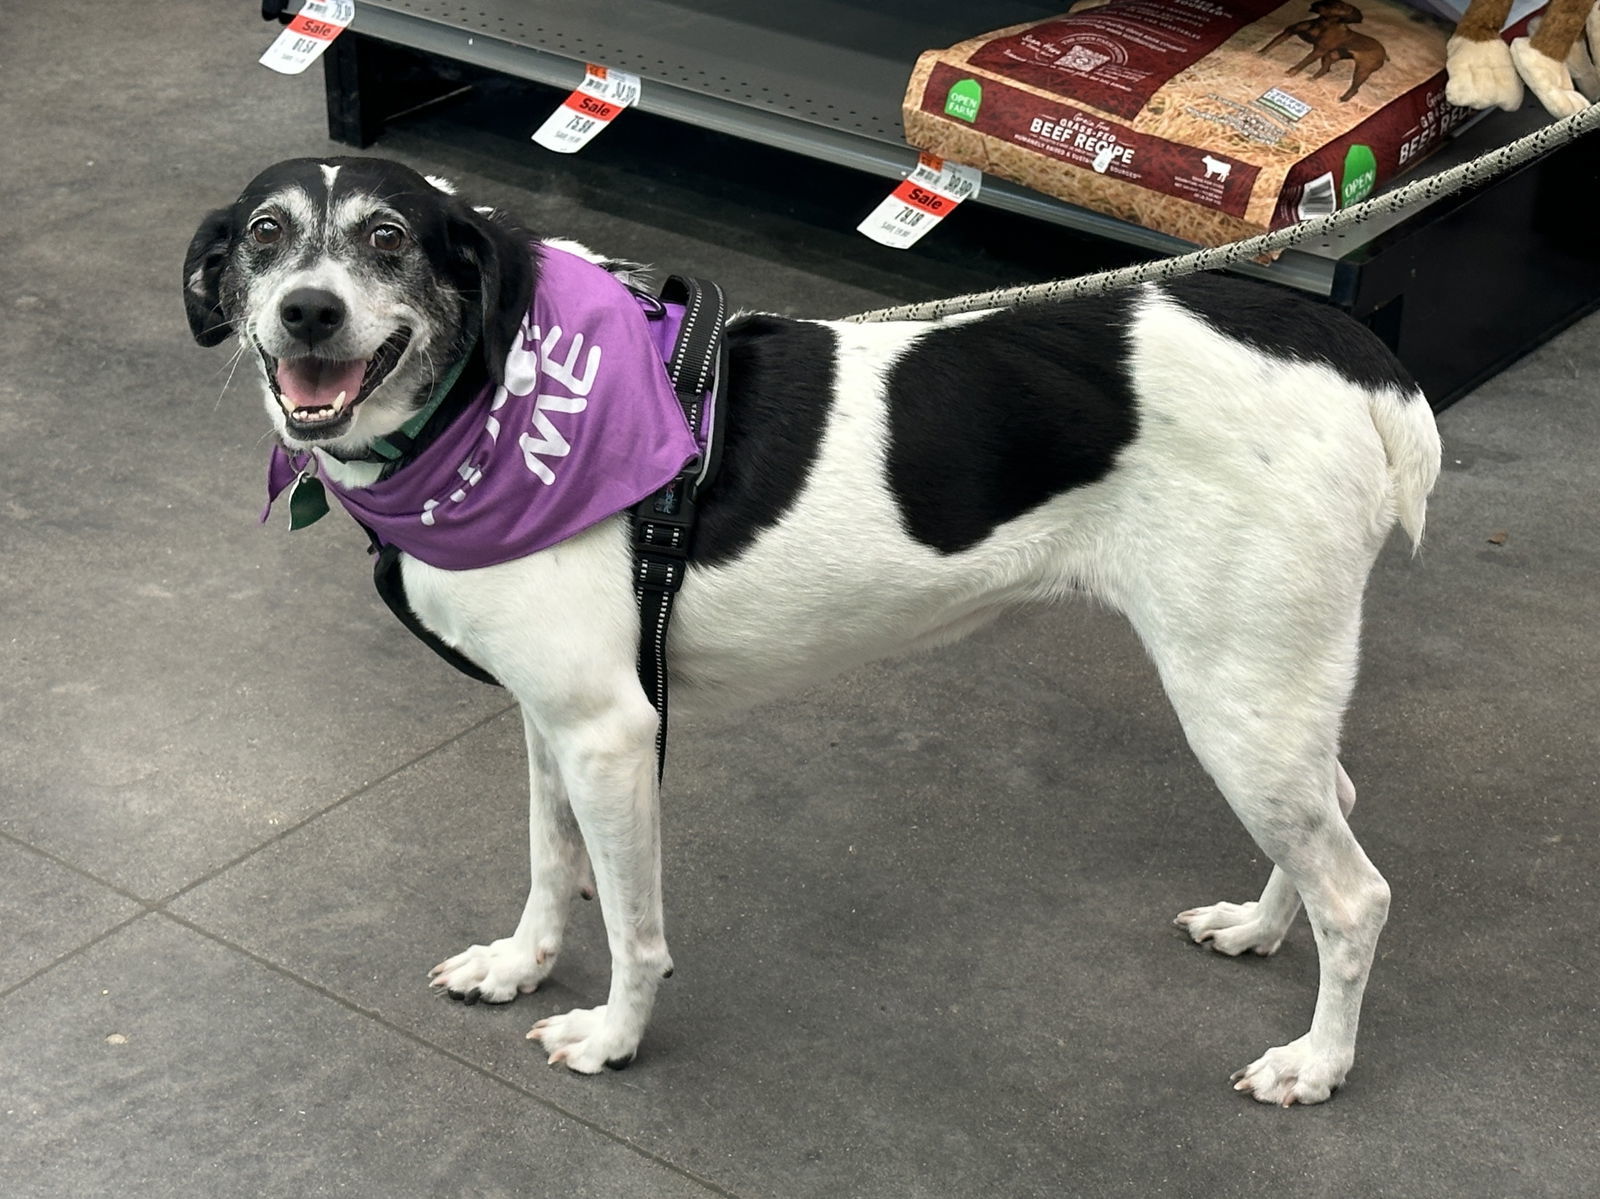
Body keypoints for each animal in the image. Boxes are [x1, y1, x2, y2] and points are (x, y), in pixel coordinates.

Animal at [181, 156, 1446, 1101]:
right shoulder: (549, 721)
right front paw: (521, 965)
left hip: (1235, 694)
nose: (306, 310)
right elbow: (550, 864)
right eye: (265, 235)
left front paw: (612, 1036)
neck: (492, 395)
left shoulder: (611, 733)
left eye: (390, 240)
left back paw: (1317, 1061)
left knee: (1357, 893)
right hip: (1268, 689)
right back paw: (1257, 927)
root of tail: (1356, 356)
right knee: (1330, 811)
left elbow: (633, 923)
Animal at [1260, 0, 1388, 100]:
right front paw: (1261, 52)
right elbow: (1272, 44)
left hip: (1362, 70)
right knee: (1325, 69)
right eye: (1332, 3)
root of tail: (1384, 53)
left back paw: (1343, 99)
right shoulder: (1290, 31)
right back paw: (1312, 79)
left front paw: (1291, 72)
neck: (1324, 23)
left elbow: (1303, 63)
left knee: (1354, 88)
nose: (1317, 5)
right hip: (1331, 55)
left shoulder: (1318, 51)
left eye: (1341, 7)